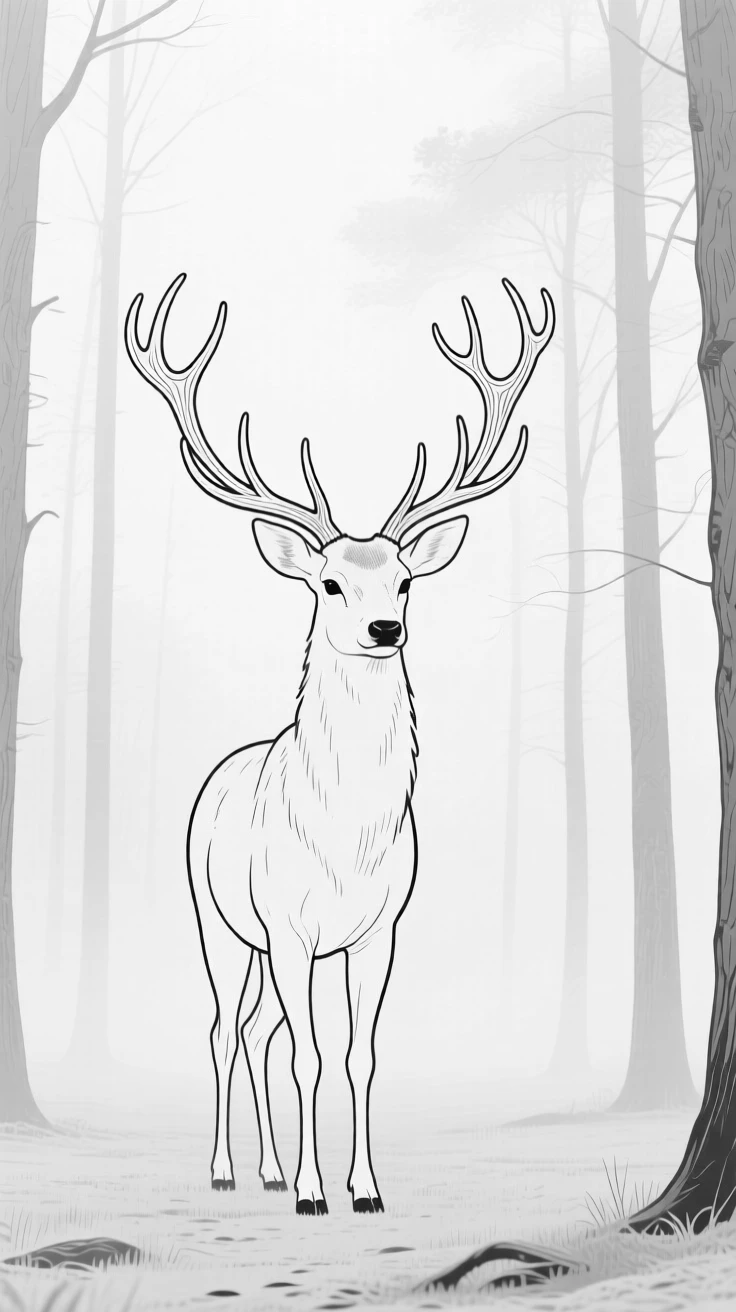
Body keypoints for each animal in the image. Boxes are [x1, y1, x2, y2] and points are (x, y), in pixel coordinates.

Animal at [124, 273, 554, 1216]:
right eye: (327, 582)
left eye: (406, 579)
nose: (384, 627)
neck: (346, 839)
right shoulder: (286, 923)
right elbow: (312, 1054)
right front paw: (313, 1191)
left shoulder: (378, 928)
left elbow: (355, 1055)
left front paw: (363, 1188)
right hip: (217, 918)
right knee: (225, 1029)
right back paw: (229, 1169)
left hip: (263, 943)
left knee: (259, 1031)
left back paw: (268, 1167)